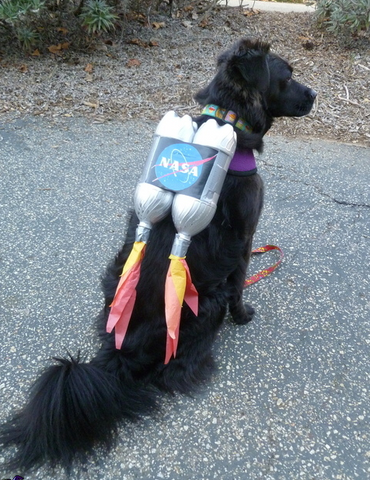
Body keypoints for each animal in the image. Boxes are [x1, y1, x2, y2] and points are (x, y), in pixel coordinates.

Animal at [0, 38, 316, 472]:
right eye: (287, 75)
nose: (315, 95)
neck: (230, 118)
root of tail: (119, 355)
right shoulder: (245, 238)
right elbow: (240, 286)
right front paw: (244, 316)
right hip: (205, 303)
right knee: (175, 368)